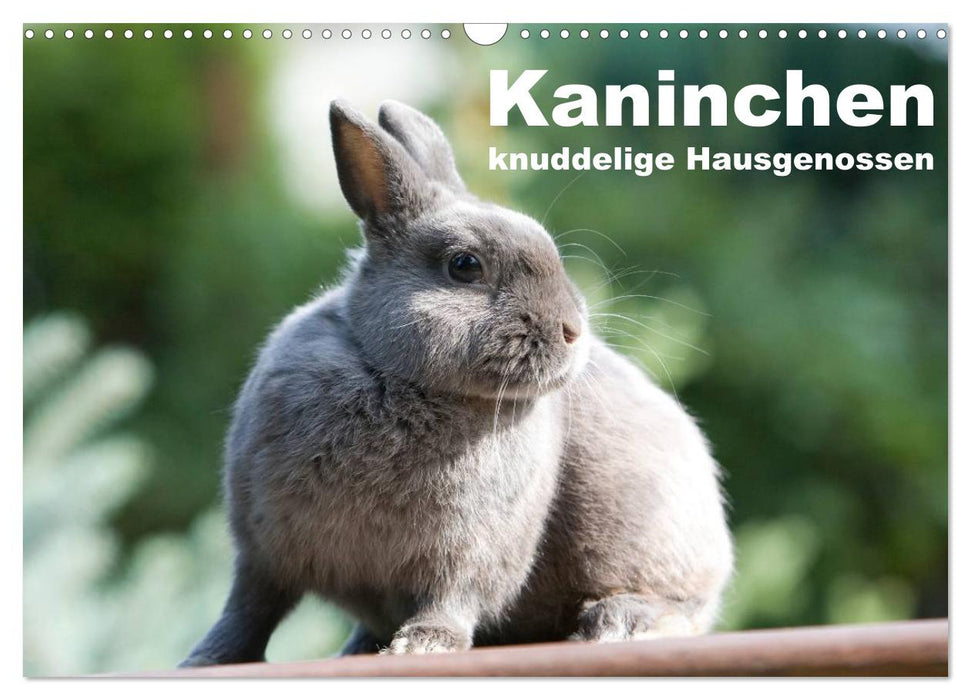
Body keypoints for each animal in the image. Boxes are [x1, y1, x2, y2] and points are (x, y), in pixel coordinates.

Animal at [180, 99, 733, 667]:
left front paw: (422, 644)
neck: (397, 377)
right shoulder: (262, 551)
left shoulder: (469, 552)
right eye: (464, 266)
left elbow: (451, 597)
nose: (572, 330)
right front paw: (204, 659)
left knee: (683, 610)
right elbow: (248, 611)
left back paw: (618, 624)